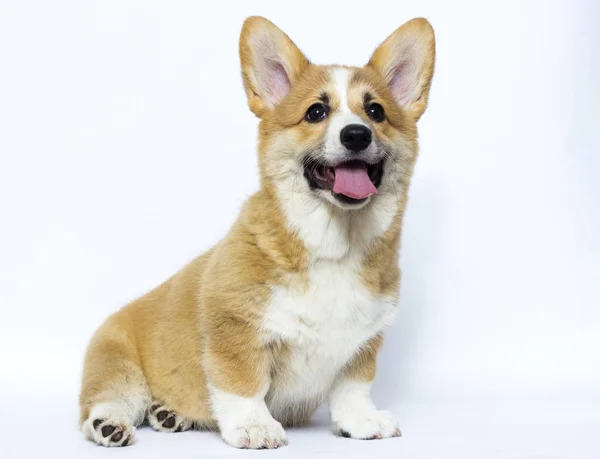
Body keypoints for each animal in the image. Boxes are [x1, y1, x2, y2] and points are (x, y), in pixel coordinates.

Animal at [79, 16, 436, 452]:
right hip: (118, 366)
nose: (356, 134)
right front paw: (254, 427)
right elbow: (243, 385)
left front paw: (361, 421)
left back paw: (168, 414)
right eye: (316, 112)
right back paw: (110, 424)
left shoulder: (363, 343)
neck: (335, 243)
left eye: (375, 111)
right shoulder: (235, 329)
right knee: (107, 399)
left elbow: (353, 388)